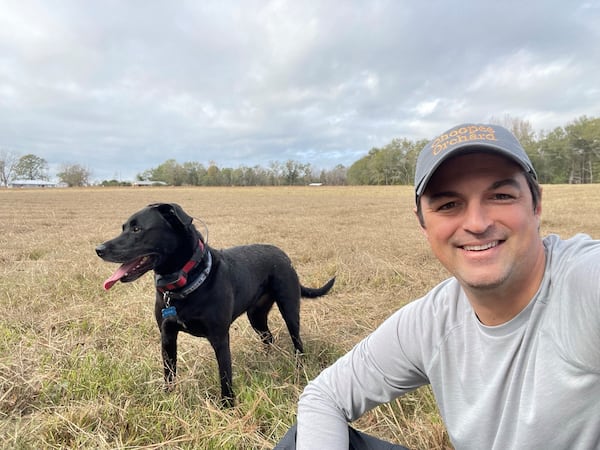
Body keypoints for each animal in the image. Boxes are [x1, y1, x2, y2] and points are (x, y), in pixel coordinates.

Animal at [96, 202, 336, 406]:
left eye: (137, 229)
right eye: (124, 227)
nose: (99, 249)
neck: (185, 281)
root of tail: (282, 254)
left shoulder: (220, 337)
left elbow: (225, 374)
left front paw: (228, 406)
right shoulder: (167, 335)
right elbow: (169, 372)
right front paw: (168, 398)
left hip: (289, 308)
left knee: (297, 341)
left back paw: (299, 368)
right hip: (256, 315)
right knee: (268, 337)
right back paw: (267, 360)